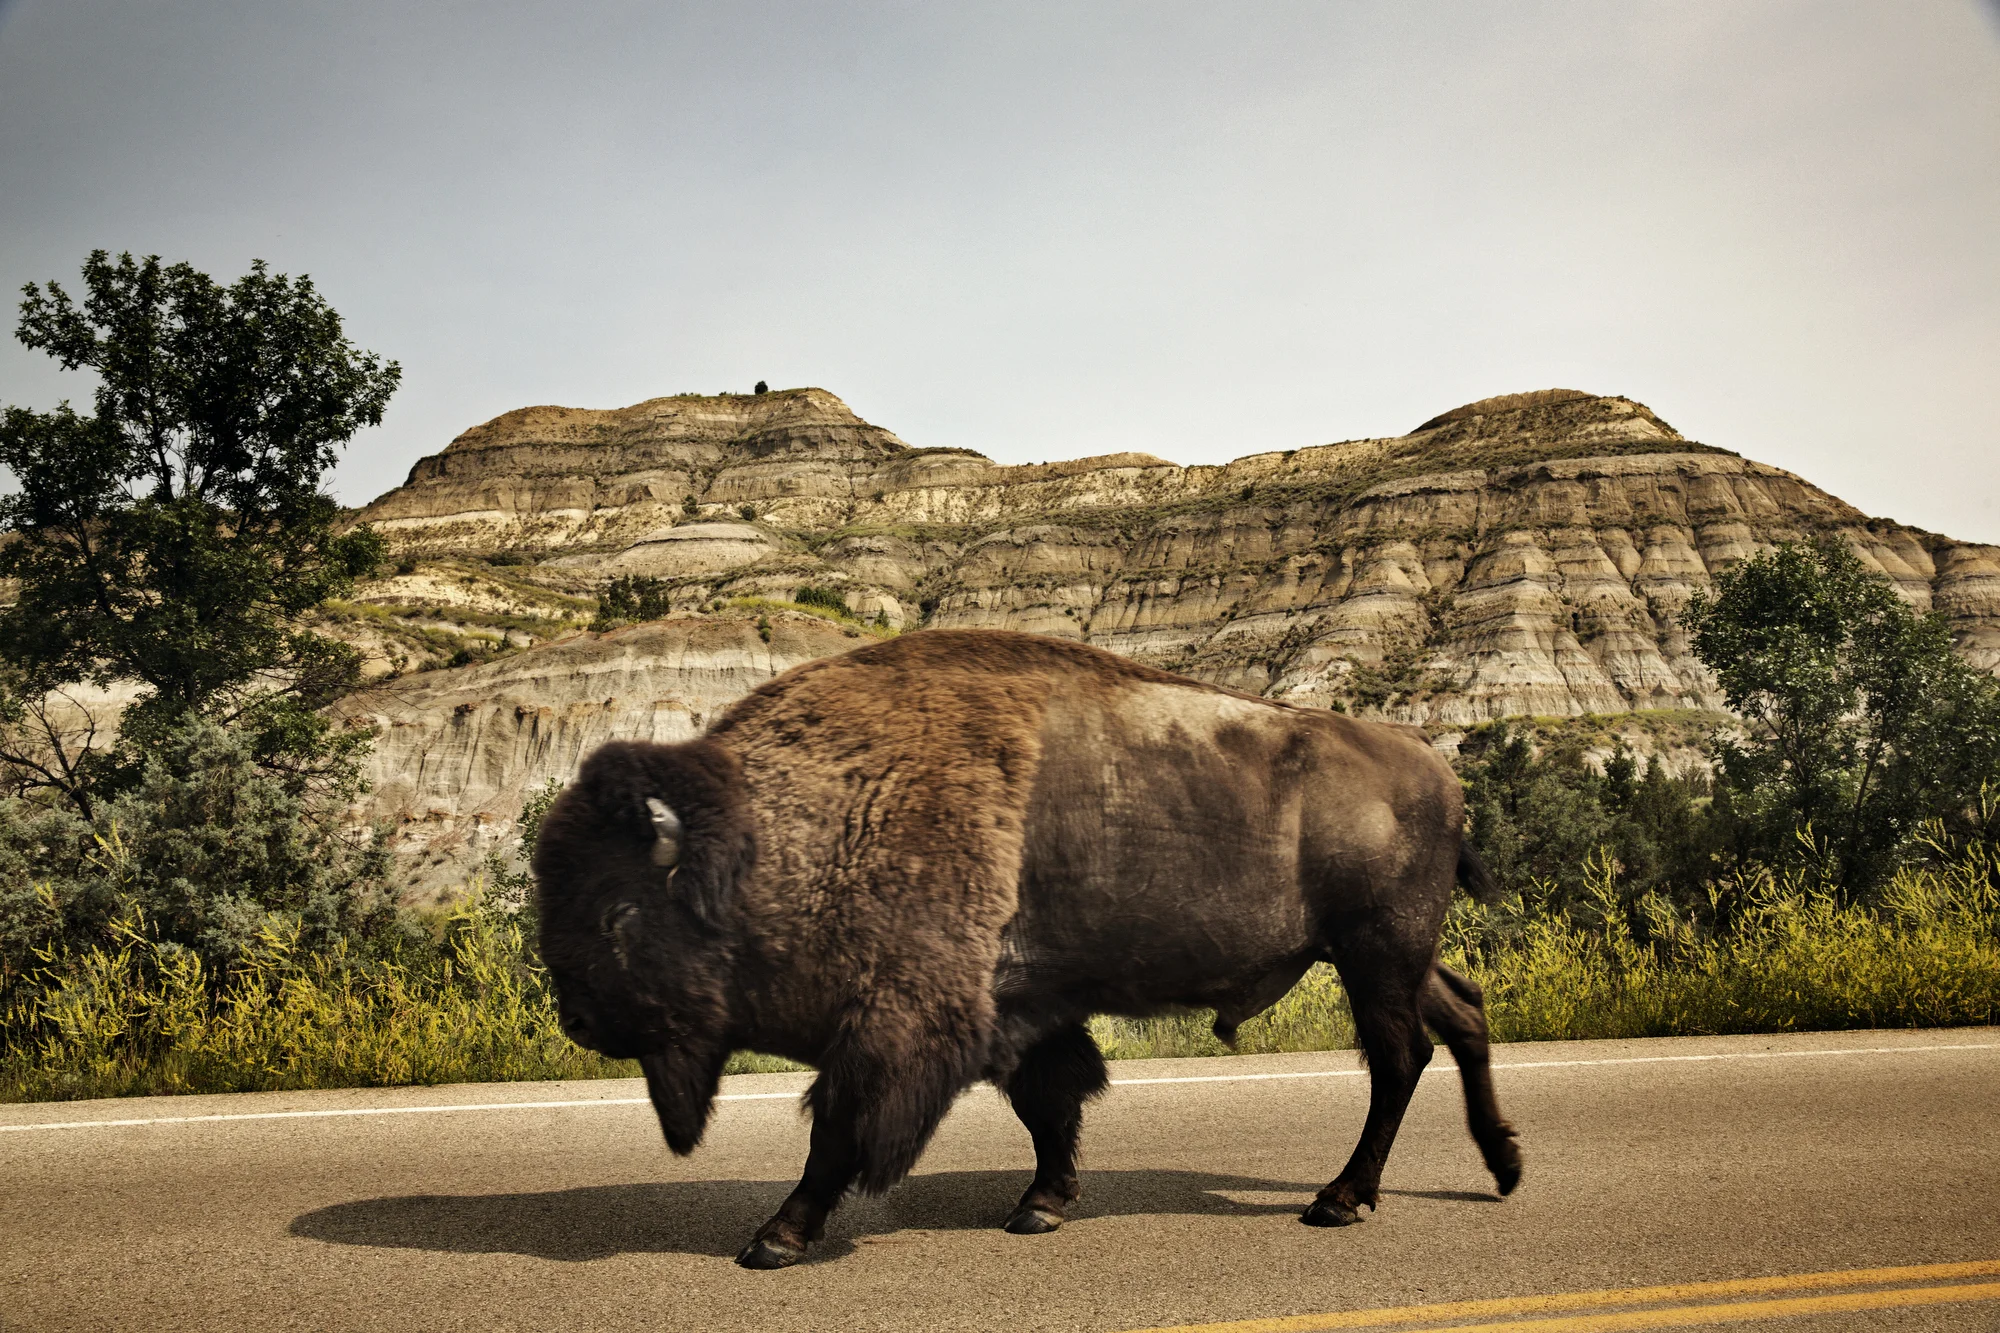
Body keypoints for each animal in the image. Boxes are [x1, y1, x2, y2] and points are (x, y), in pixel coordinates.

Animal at [533, 629, 1519, 1268]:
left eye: (619, 911)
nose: (576, 1017)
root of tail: (1437, 770)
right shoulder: (1022, 1007)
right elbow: (1051, 1105)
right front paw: (1042, 1205)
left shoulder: (899, 1024)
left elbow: (839, 1131)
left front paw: (774, 1238)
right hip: (1383, 955)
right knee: (1462, 1013)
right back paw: (1502, 1166)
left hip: (1374, 951)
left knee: (1399, 1056)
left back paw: (1339, 1199)